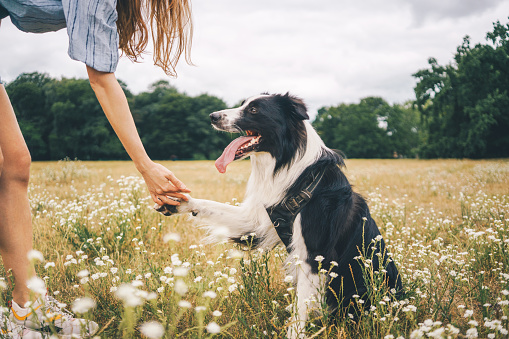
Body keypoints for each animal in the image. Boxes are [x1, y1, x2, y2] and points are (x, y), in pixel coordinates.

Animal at [155, 92, 400, 338]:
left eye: (254, 110)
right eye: (244, 104)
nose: (212, 116)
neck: (290, 166)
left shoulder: (315, 256)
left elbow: (300, 309)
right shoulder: (255, 222)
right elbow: (211, 205)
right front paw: (179, 201)